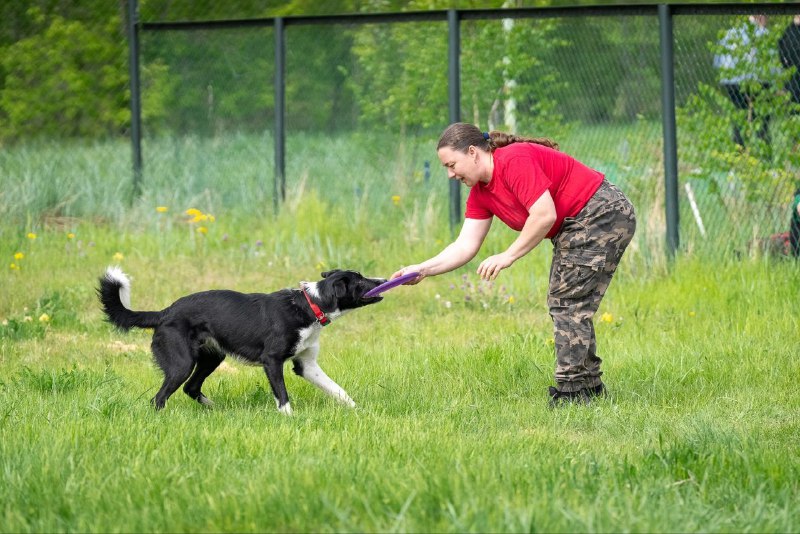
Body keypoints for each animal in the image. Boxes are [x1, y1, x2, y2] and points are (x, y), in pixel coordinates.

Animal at [98, 270, 386, 416]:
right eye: (361, 280)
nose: (384, 280)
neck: (309, 305)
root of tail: (165, 312)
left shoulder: (306, 365)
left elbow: (338, 390)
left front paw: (358, 410)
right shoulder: (272, 361)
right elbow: (283, 396)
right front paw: (289, 420)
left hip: (213, 357)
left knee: (191, 388)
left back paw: (215, 410)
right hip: (182, 363)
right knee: (158, 398)